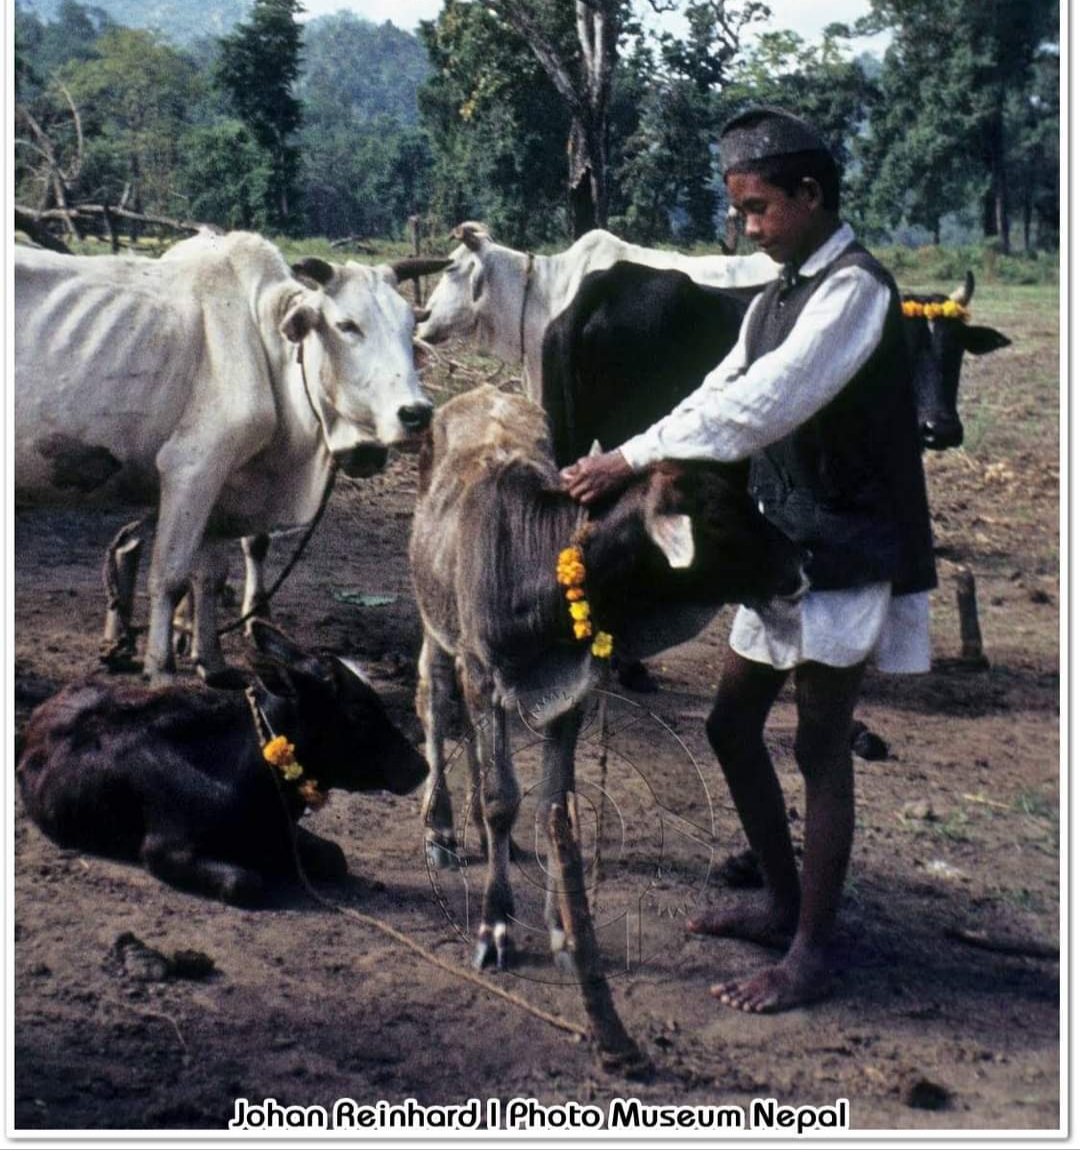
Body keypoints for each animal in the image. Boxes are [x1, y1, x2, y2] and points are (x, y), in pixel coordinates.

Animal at [14, 233, 432, 680]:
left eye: (410, 328)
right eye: (347, 325)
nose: (417, 413)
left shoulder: (224, 487)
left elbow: (210, 576)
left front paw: (210, 661)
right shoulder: (192, 467)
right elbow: (170, 575)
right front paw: (161, 668)